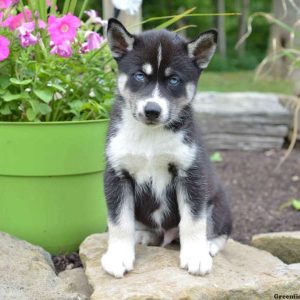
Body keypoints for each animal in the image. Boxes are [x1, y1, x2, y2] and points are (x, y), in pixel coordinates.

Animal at [101, 17, 232, 278]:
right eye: (139, 75)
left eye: (174, 80)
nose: (152, 110)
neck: (150, 137)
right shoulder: (117, 175)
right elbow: (119, 222)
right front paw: (119, 256)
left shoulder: (190, 174)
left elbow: (193, 221)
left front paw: (196, 256)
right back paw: (143, 235)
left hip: (220, 204)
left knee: (219, 230)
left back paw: (210, 244)